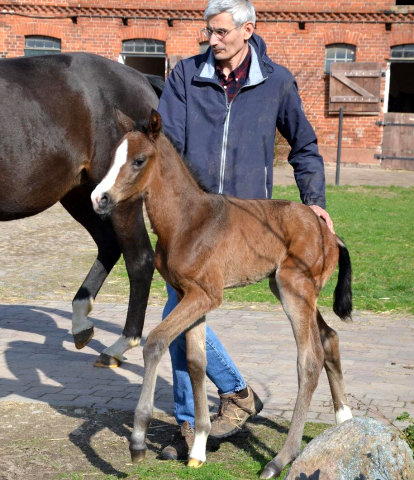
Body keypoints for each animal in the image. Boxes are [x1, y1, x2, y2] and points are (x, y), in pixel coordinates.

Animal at [0, 52, 163, 368]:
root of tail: (140, 78)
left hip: (117, 199)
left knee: (140, 259)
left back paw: (119, 345)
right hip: (83, 195)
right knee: (110, 246)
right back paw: (80, 323)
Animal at [91, 110, 352, 480]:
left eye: (139, 160)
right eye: (113, 157)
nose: (99, 198)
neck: (187, 222)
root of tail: (329, 232)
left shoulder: (206, 295)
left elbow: (155, 341)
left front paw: (138, 440)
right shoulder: (191, 295)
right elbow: (196, 362)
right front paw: (198, 447)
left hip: (294, 288)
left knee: (309, 360)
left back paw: (280, 459)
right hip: (291, 289)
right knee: (330, 338)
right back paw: (345, 421)